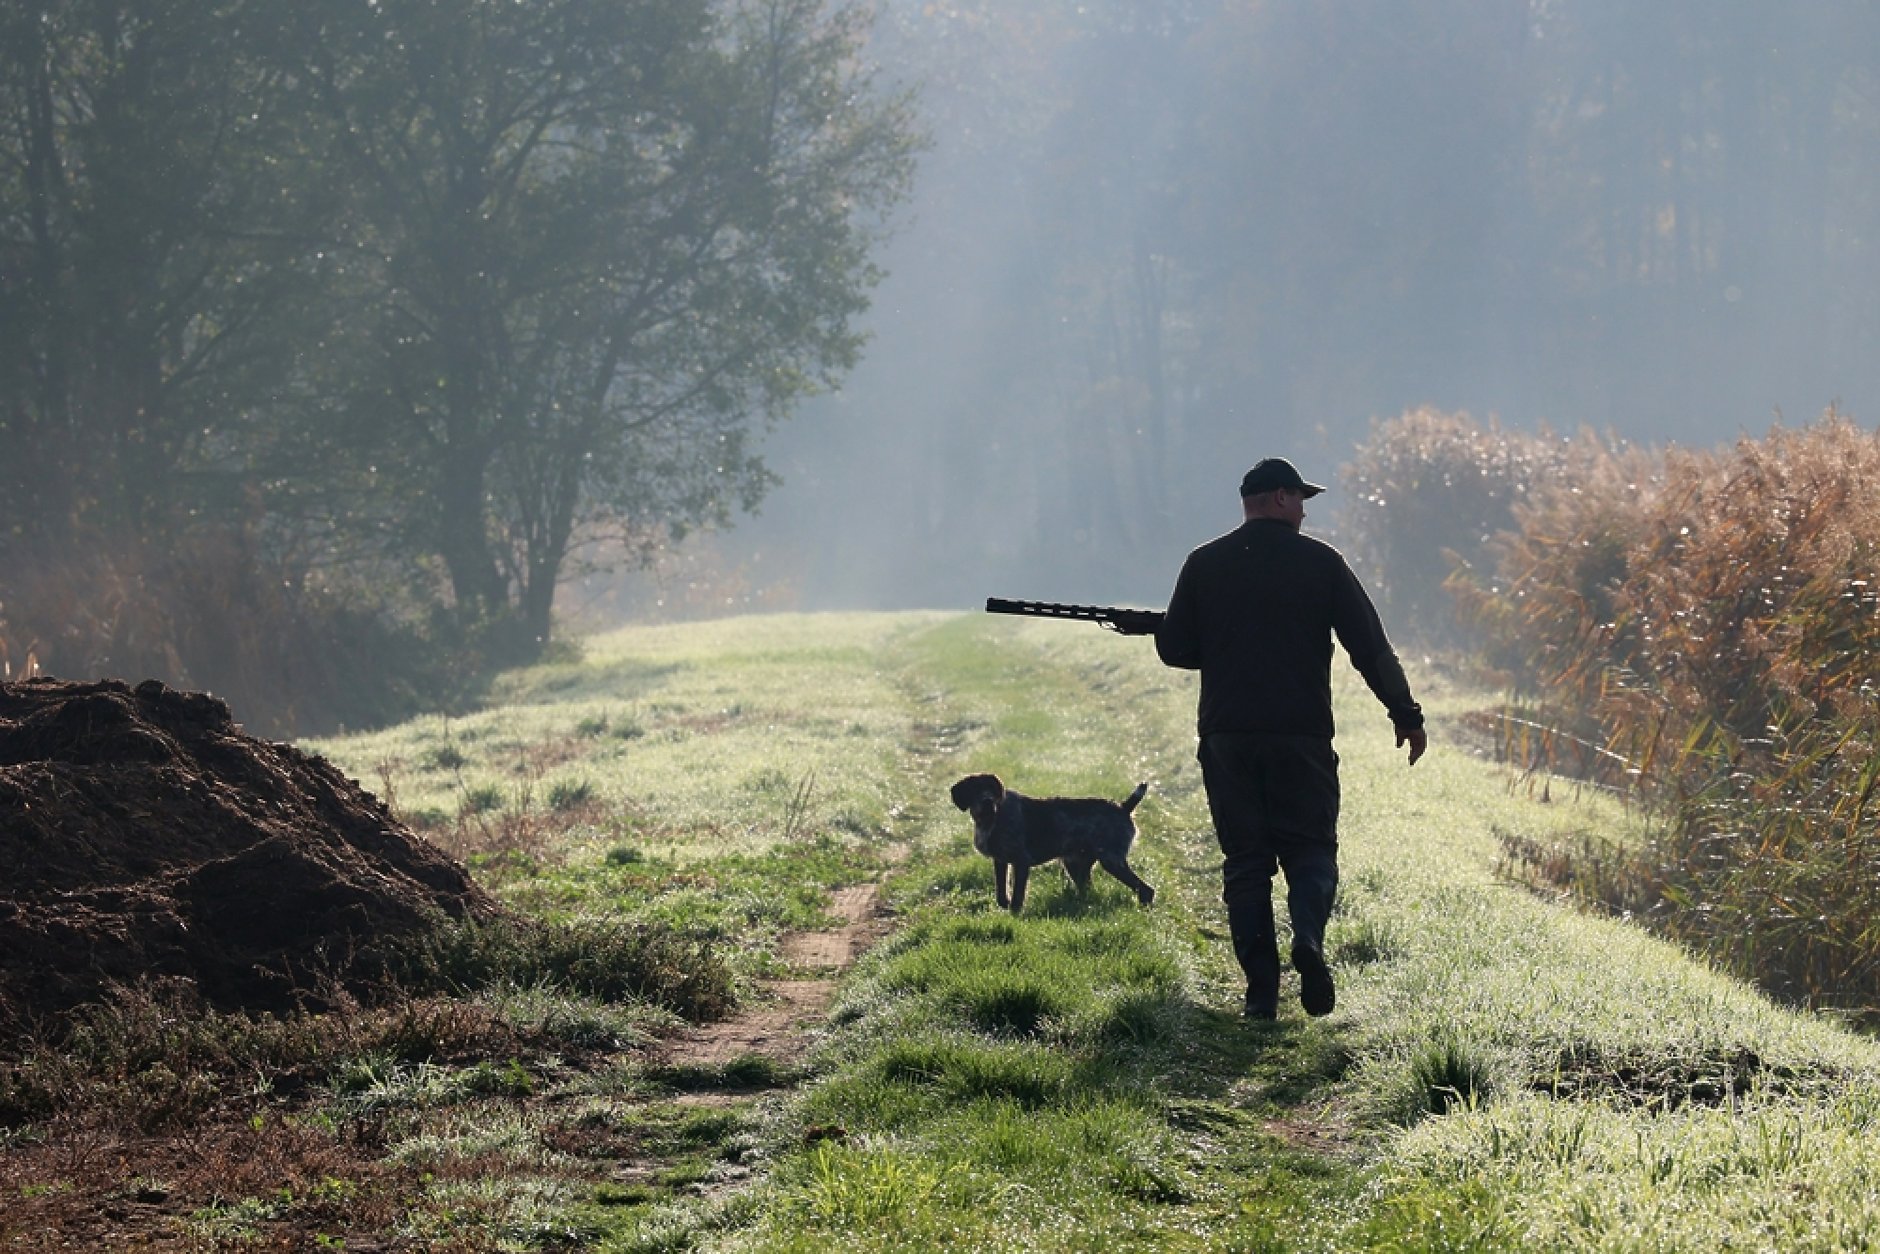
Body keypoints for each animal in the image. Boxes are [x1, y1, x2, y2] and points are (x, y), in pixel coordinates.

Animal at [947, 774, 1150, 913]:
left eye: (991, 789)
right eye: (975, 790)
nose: (987, 801)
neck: (991, 819)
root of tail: (1124, 807)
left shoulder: (1021, 862)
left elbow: (1017, 896)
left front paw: (1015, 913)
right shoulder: (1001, 861)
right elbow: (1001, 893)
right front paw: (1005, 905)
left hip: (1111, 861)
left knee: (1146, 890)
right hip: (1075, 865)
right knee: (1089, 890)